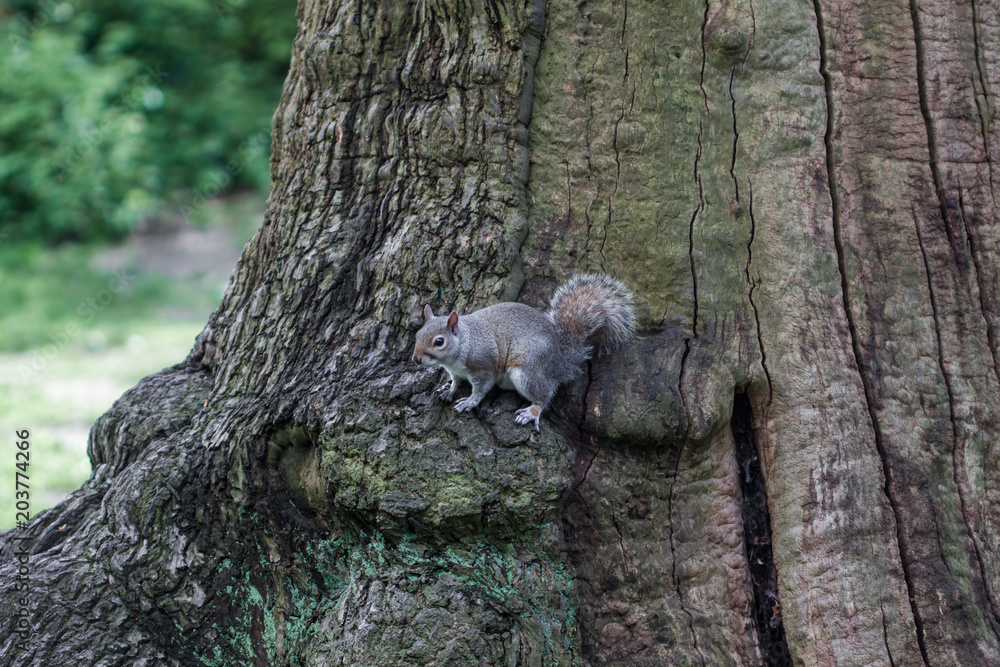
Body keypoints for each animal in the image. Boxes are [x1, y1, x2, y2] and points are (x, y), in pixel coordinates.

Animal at [411, 273, 636, 430]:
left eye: (439, 341)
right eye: (417, 333)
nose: (416, 359)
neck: (465, 342)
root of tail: (560, 362)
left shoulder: (483, 366)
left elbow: (481, 389)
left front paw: (469, 402)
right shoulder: (456, 371)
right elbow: (456, 382)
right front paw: (448, 389)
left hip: (525, 372)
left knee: (545, 395)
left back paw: (533, 412)